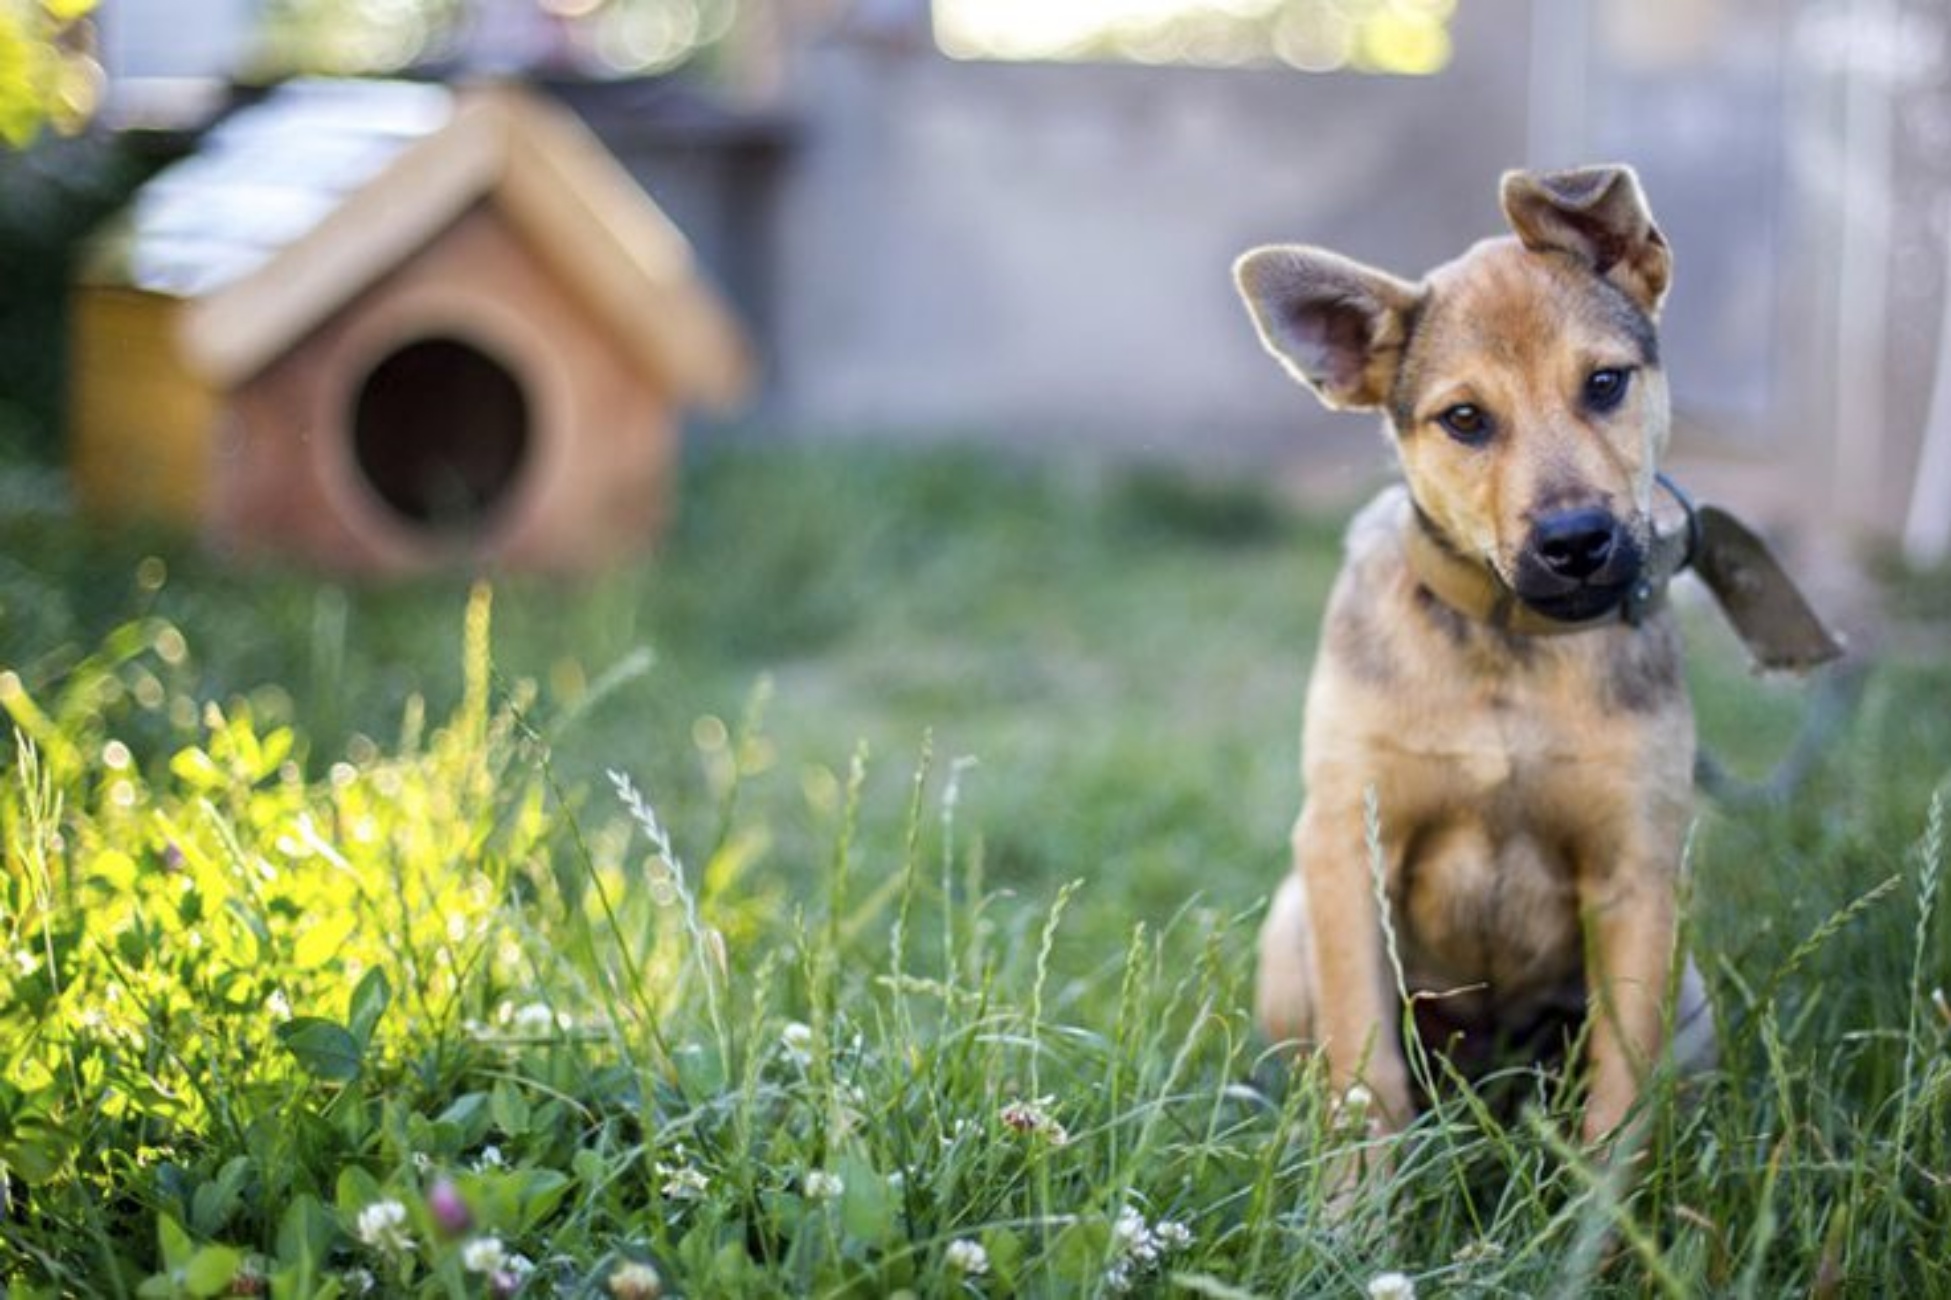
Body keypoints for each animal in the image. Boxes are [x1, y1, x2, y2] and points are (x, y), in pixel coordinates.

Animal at [1240, 164, 1716, 1147]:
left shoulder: (1635, 870)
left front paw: (1605, 1196)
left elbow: (1621, 1082)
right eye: (1464, 419)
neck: (1509, 649)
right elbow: (1365, 1070)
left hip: (1691, 992)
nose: (1575, 542)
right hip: (1291, 921)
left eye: (1604, 383)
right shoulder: (1346, 845)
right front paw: (1357, 1193)